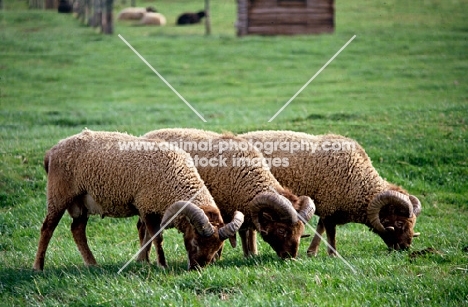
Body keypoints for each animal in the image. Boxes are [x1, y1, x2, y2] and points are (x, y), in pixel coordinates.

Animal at [33, 130, 245, 272]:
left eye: (218, 248)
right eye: (194, 242)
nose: (197, 269)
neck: (176, 178)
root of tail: (52, 151)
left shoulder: (152, 208)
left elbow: (147, 237)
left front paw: (145, 261)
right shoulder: (147, 207)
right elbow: (156, 237)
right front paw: (161, 265)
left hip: (81, 204)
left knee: (77, 230)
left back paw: (92, 264)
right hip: (59, 196)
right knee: (47, 228)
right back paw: (38, 267)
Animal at [143, 129, 316, 262]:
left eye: (301, 231)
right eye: (281, 230)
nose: (290, 257)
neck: (245, 174)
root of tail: (150, 133)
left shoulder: (241, 207)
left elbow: (245, 231)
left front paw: (249, 255)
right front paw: (217, 258)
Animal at [239, 131, 422, 256]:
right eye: (399, 223)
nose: (405, 248)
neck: (359, 180)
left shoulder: (326, 205)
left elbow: (320, 227)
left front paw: (312, 252)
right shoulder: (329, 204)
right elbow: (330, 231)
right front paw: (332, 254)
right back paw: (252, 252)